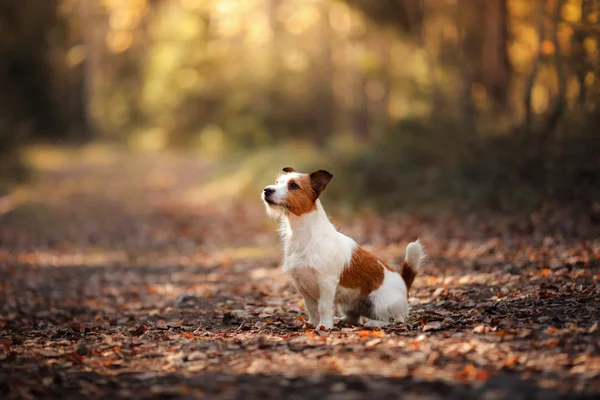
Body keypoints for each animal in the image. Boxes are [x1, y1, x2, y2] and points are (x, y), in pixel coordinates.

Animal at [260, 167, 424, 330]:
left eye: (293, 185)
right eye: (277, 182)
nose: (267, 190)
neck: (304, 234)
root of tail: (405, 285)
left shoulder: (326, 283)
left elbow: (323, 307)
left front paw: (324, 326)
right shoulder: (301, 285)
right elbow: (311, 308)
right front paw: (312, 324)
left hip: (382, 303)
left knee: (396, 319)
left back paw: (374, 322)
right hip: (349, 304)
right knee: (354, 317)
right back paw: (343, 320)